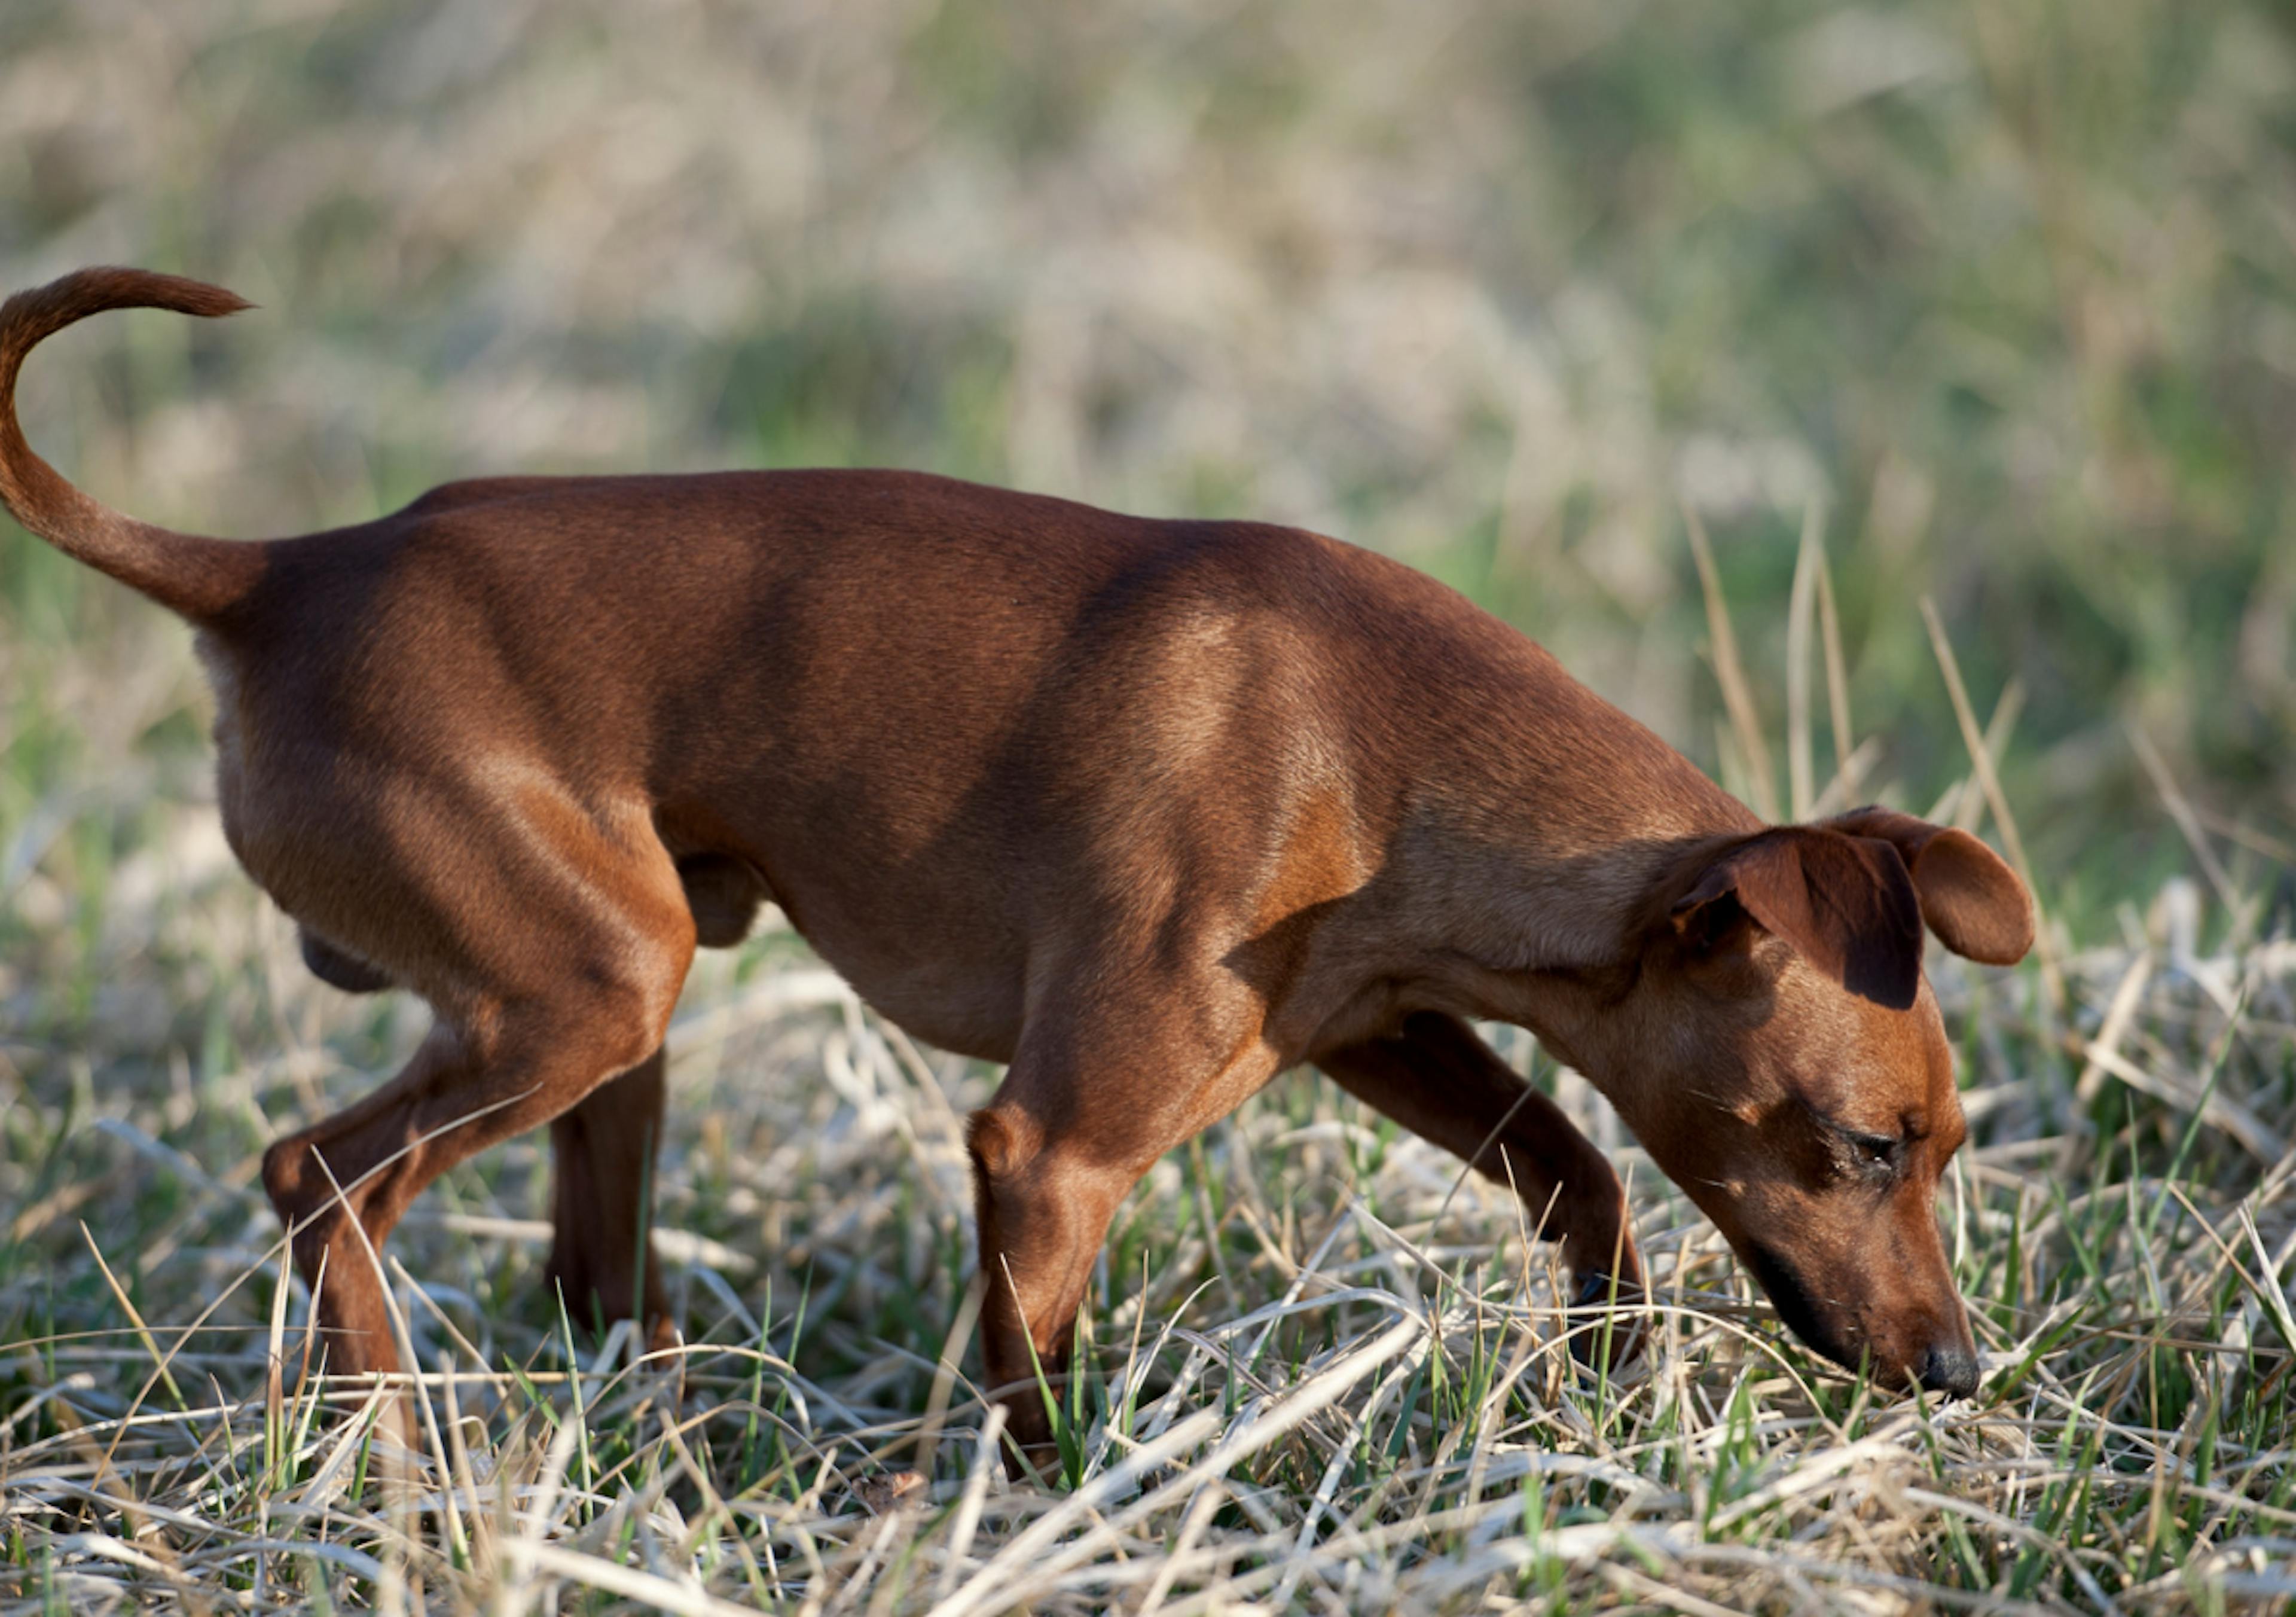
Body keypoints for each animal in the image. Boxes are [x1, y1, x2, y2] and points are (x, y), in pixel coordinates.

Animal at [0, 269, 2038, 1451]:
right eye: (1865, 1147)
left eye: (1941, 1148)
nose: (1955, 1372)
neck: (1372, 744)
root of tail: (284, 571)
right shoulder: (1051, 1154)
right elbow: (1034, 1398)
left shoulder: (1375, 1023)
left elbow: (1578, 1166)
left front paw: (1610, 1385)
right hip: (583, 993)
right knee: (316, 1178)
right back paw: (389, 1455)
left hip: (612, 1030)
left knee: (577, 1275)